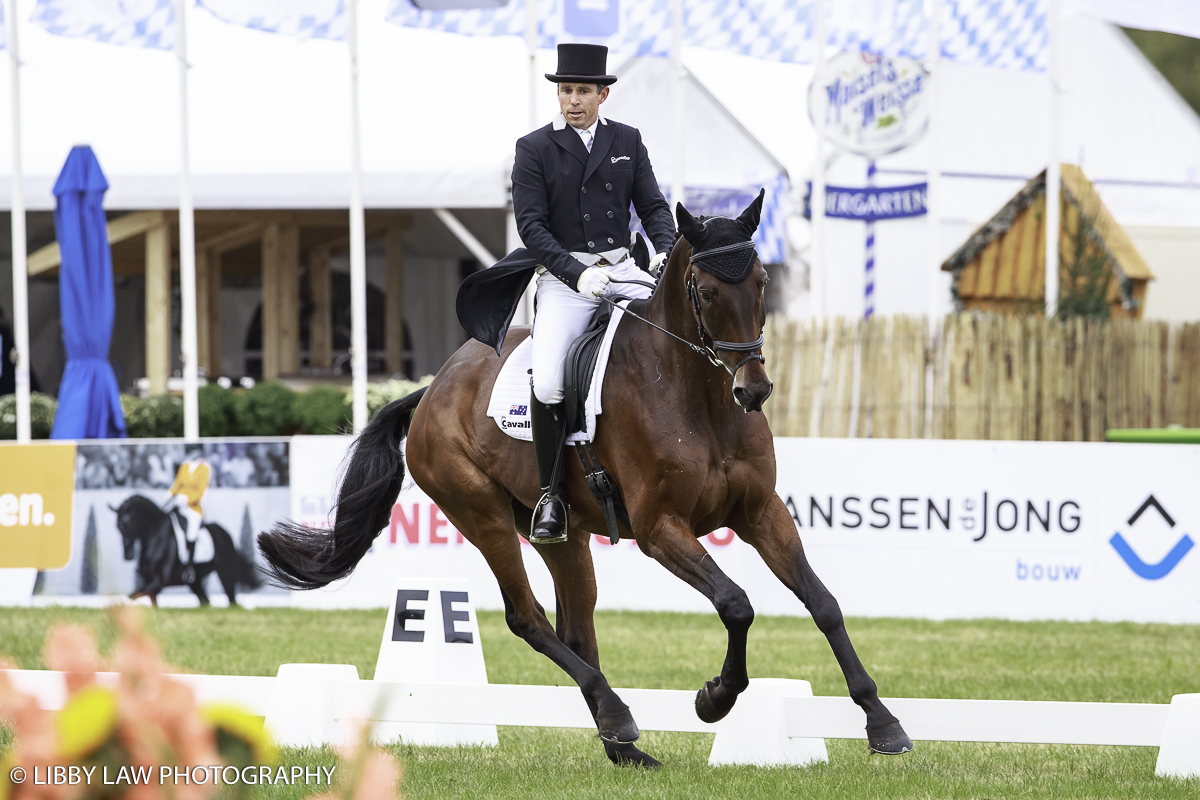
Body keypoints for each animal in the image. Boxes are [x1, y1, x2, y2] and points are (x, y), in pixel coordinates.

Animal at [258, 195, 912, 767]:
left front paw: (883, 725)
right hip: (481, 514)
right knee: (528, 618)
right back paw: (619, 718)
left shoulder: (761, 512)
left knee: (576, 627)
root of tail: (432, 389)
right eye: (705, 291)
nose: (753, 390)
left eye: (762, 284)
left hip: (562, 532)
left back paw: (623, 744)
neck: (698, 397)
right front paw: (714, 699)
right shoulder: (659, 529)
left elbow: (823, 604)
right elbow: (736, 603)